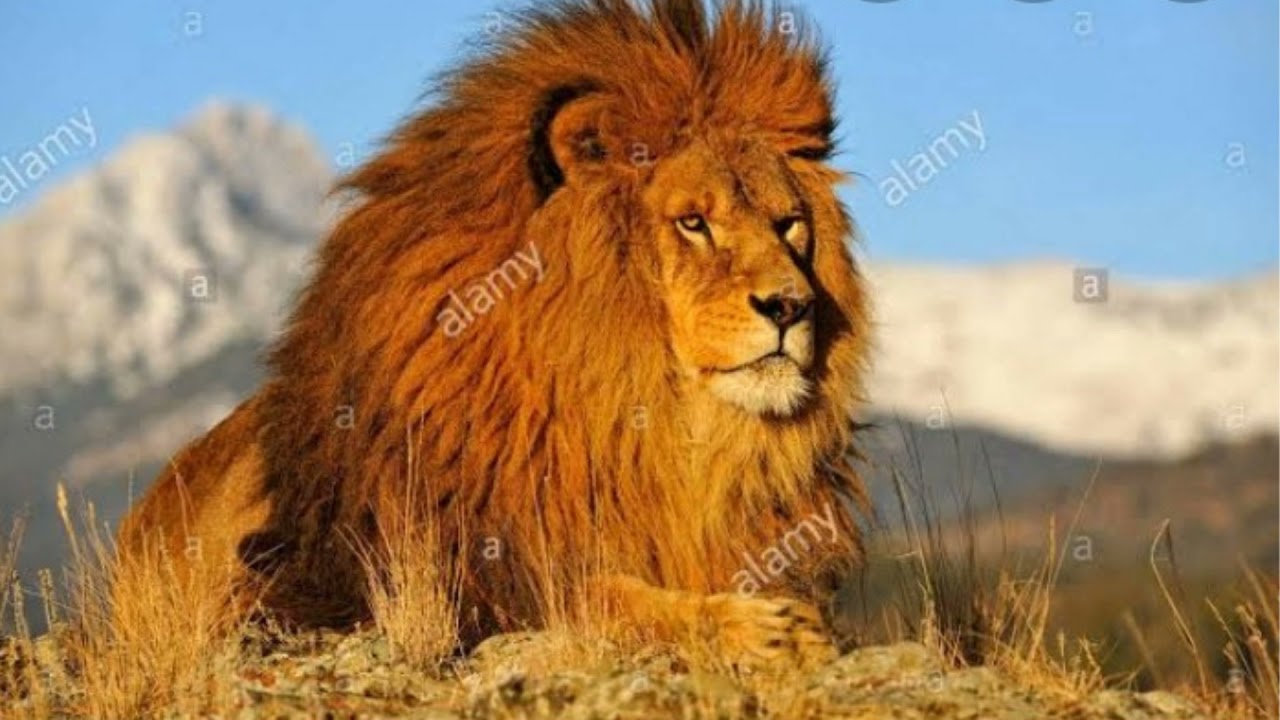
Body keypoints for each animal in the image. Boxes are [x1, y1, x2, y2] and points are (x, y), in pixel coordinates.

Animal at [118, 0, 872, 666]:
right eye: (694, 222)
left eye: (787, 224)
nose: (792, 306)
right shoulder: (416, 579)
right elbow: (599, 597)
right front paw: (762, 628)